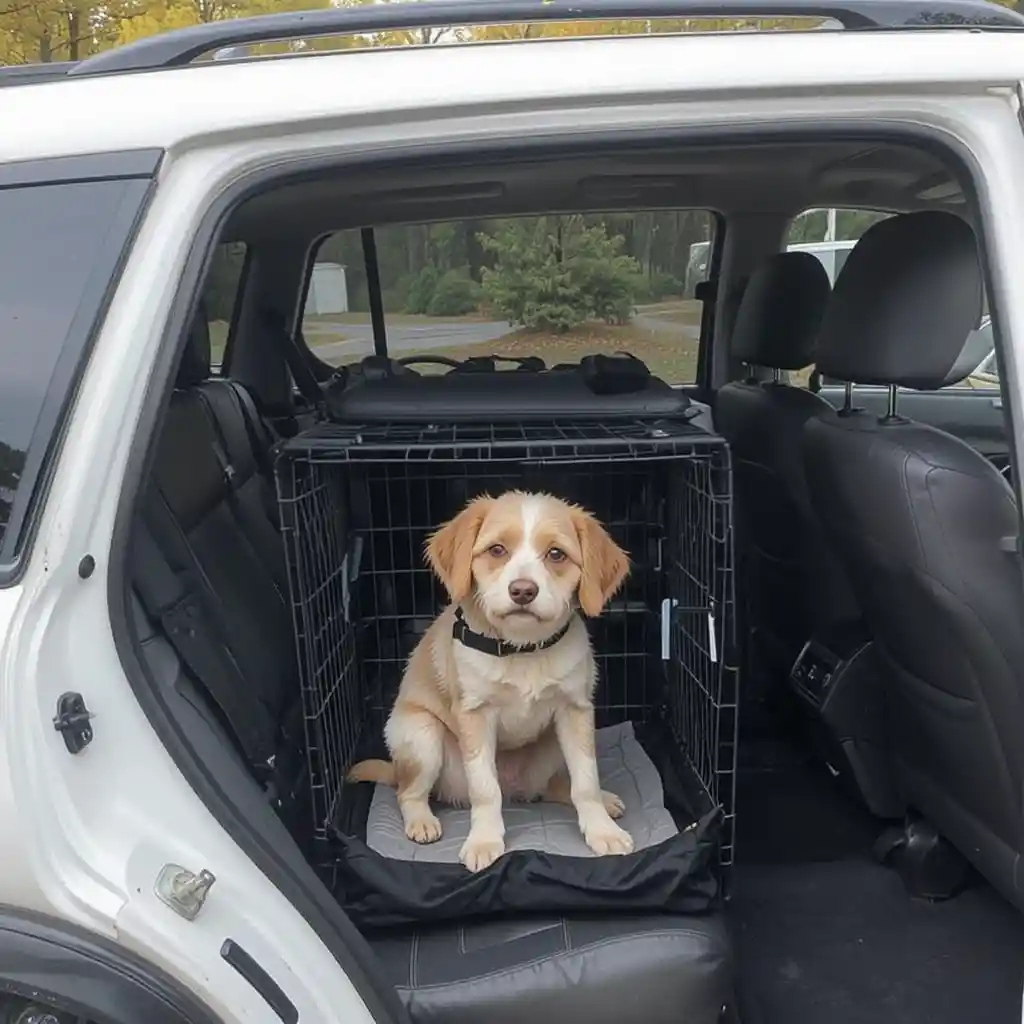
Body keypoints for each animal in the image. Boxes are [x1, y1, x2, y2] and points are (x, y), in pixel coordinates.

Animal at [348, 489, 633, 872]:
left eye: (556, 554)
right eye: (497, 550)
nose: (523, 591)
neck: (522, 649)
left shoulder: (575, 711)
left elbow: (585, 779)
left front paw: (602, 829)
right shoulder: (476, 715)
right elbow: (485, 788)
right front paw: (484, 840)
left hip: (549, 748)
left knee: (551, 786)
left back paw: (601, 800)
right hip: (421, 736)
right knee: (408, 791)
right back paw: (421, 821)